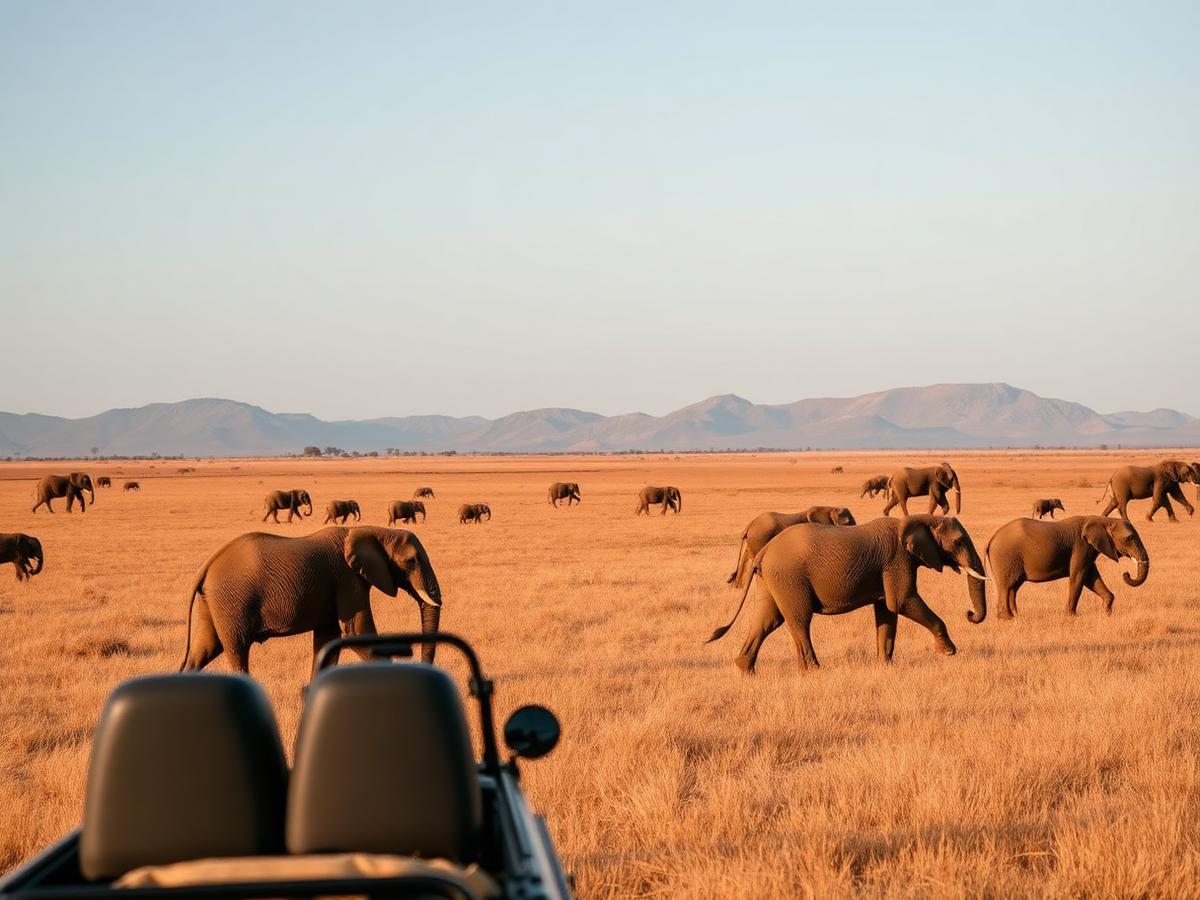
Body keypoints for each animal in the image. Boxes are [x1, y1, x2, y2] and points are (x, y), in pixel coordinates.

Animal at [180, 526, 442, 674]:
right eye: (410, 562)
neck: (377, 531)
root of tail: (207, 565)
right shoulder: (347, 578)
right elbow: (357, 632)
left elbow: (329, 639)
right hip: (232, 601)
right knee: (237, 650)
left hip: (214, 601)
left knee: (203, 650)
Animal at [985, 516, 1149, 618]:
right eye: (1129, 538)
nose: (1126, 573)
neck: (1102, 520)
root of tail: (992, 537)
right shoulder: (1081, 547)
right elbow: (1079, 577)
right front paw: (1072, 616)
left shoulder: (1088, 550)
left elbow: (1091, 577)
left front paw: (1107, 610)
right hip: (1006, 557)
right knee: (1006, 587)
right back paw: (1007, 618)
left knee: (1013, 588)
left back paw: (1016, 616)